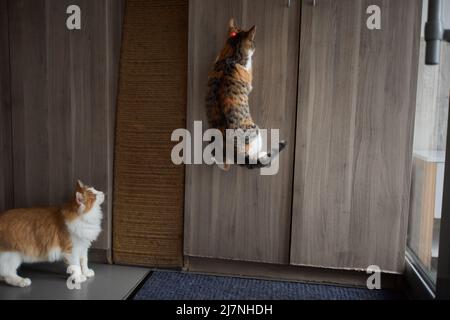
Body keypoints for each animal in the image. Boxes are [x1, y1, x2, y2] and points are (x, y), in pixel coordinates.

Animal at [206, 18, 286, 171]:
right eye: (253, 43)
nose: (255, 46)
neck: (231, 55)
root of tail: (234, 150)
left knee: (223, 164)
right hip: (256, 130)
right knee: (255, 159)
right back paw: (262, 155)